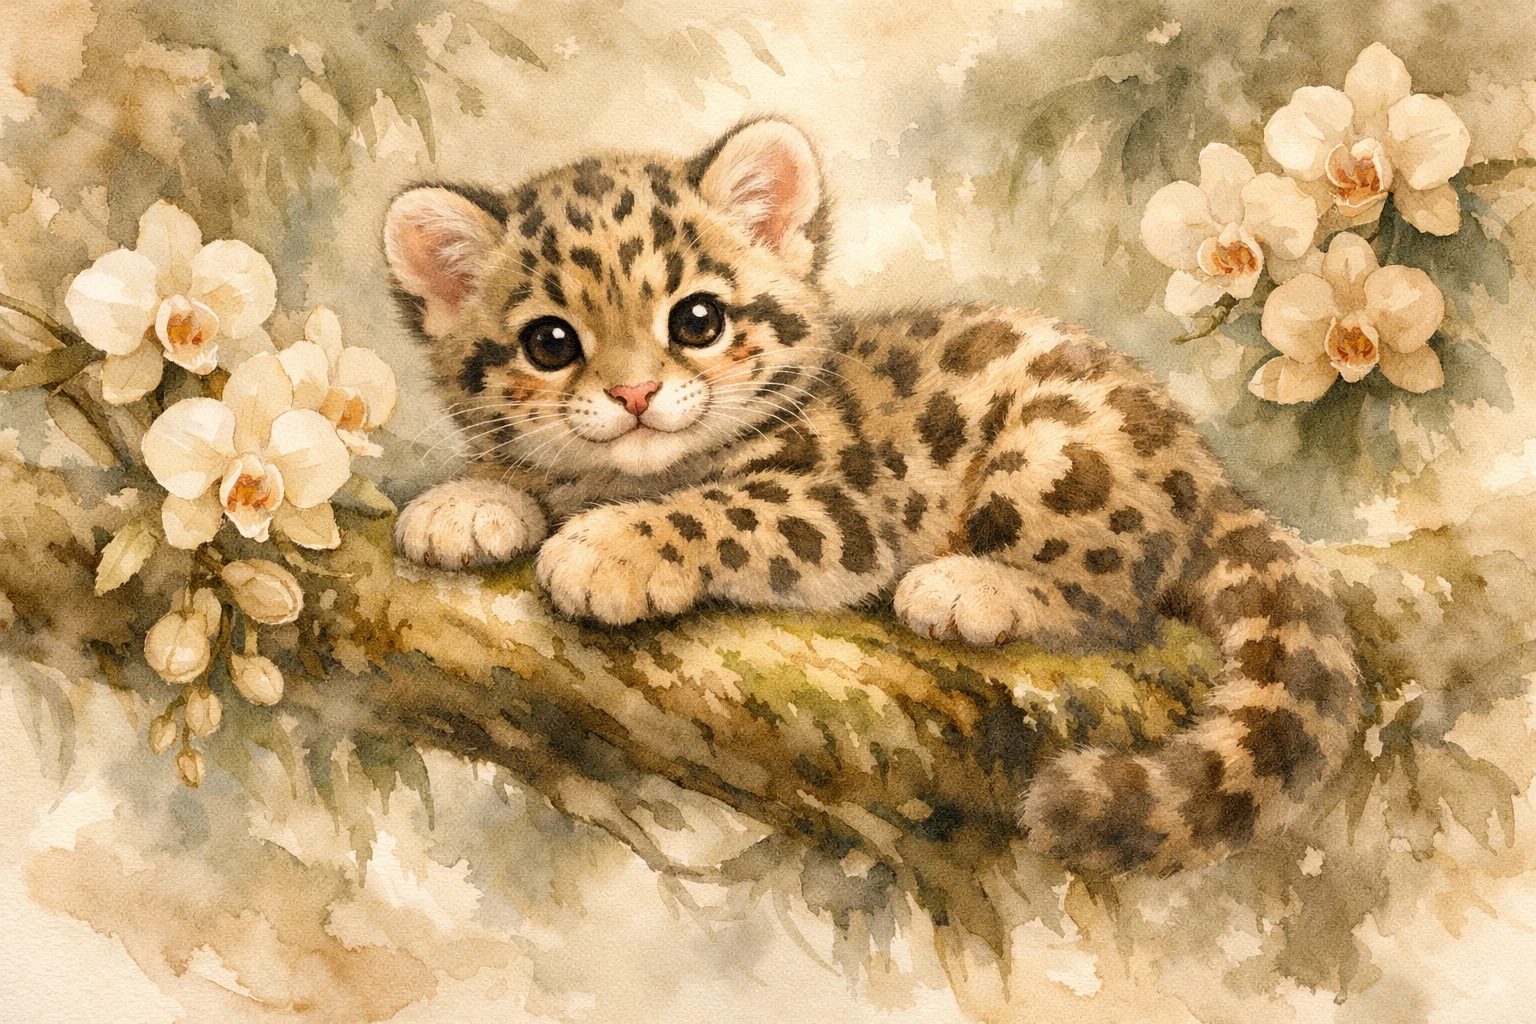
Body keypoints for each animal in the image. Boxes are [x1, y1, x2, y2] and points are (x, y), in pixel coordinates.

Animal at [382, 117, 1364, 876]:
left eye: (697, 319)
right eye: (550, 342)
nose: (633, 395)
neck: (625, 475)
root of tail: (1207, 471)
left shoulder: (835, 505)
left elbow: (716, 510)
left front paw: (605, 550)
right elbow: (525, 471)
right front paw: (466, 504)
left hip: (1057, 448)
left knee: (1109, 597)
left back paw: (968, 587)